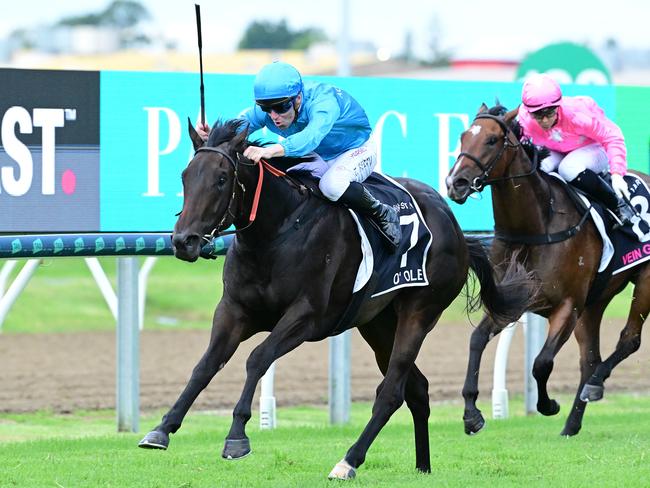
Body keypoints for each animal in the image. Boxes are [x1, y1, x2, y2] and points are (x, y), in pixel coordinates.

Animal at [137, 119, 532, 480]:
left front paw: (237, 436)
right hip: (378, 323)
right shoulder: (234, 311)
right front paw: (162, 428)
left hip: (420, 312)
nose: (183, 241)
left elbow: (257, 358)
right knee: (416, 389)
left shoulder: (307, 317)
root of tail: (455, 226)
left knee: (392, 391)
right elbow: (205, 365)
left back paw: (349, 460)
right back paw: (423, 466)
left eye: (221, 179)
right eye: (186, 176)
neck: (277, 232)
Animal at [446, 104, 648, 438]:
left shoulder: (567, 306)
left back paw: (595, 385)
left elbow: (541, 363)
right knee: (589, 359)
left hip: (643, 282)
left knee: (628, 340)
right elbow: (476, 339)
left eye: (492, 140)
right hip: (594, 301)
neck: (536, 226)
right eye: (463, 137)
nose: (456, 183)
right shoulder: (513, 300)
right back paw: (572, 423)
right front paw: (471, 414)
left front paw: (548, 404)